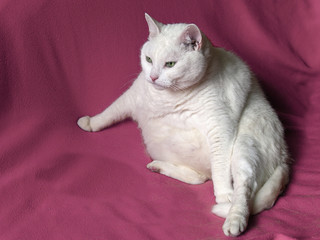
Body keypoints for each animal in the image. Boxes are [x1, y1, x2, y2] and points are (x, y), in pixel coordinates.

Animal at [77, 13, 290, 236]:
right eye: (148, 59)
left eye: (170, 64)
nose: (153, 77)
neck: (167, 97)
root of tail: (285, 158)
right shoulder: (132, 96)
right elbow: (110, 112)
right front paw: (91, 123)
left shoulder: (219, 128)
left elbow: (221, 172)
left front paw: (224, 195)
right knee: (199, 178)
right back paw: (158, 167)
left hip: (245, 148)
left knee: (244, 187)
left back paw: (234, 219)